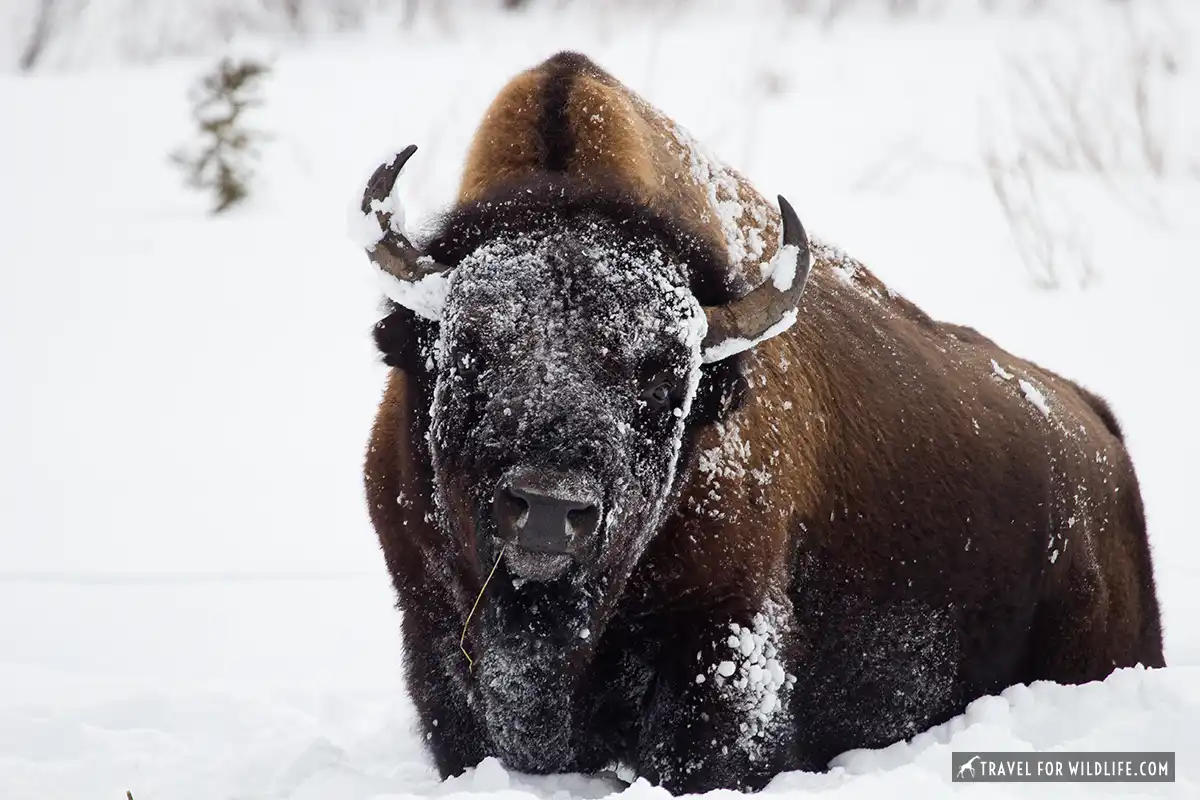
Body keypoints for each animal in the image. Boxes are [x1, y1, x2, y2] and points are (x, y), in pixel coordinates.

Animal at [355, 51, 1161, 796]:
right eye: (470, 347)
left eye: (663, 375)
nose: (550, 508)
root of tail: (1098, 428)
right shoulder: (430, 632)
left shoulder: (726, 646)